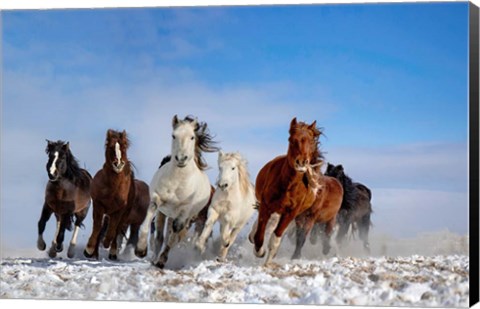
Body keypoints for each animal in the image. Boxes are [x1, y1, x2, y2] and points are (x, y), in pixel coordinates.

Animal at [83, 129, 149, 258]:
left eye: (124, 147)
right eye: (110, 147)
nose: (118, 164)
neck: (112, 189)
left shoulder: (119, 211)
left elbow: (112, 230)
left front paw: (107, 245)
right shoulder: (98, 205)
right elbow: (97, 227)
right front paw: (89, 250)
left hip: (125, 216)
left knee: (117, 230)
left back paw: (112, 252)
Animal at [135, 115, 218, 268]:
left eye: (192, 137)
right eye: (173, 135)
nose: (181, 158)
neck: (178, 181)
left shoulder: (184, 213)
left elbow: (174, 235)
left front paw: (162, 260)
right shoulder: (157, 200)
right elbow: (148, 220)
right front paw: (141, 250)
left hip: (186, 218)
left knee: (173, 235)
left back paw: (160, 259)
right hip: (165, 214)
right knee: (160, 236)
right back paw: (154, 258)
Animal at [251, 116, 322, 264]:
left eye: (311, 141)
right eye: (292, 140)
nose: (301, 162)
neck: (289, 186)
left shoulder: (290, 213)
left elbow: (276, 238)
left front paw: (268, 262)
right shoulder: (266, 206)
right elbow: (259, 236)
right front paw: (260, 252)